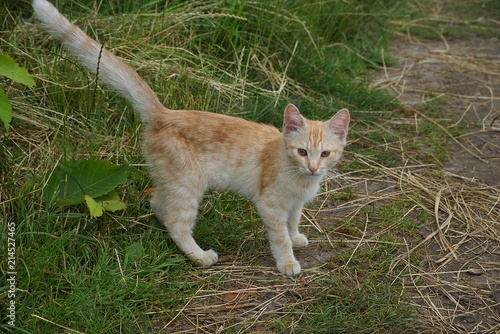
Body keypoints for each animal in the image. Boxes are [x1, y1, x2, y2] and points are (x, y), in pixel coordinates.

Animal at [33, 0, 350, 276]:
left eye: (325, 154)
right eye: (301, 151)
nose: (313, 168)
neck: (299, 179)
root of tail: (164, 113)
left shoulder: (295, 204)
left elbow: (293, 222)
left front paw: (296, 237)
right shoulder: (270, 205)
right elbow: (279, 235)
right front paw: (287, 261)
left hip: (172, 180)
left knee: (159, 204)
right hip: (188, 184)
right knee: (176, 221)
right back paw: (199, 256)